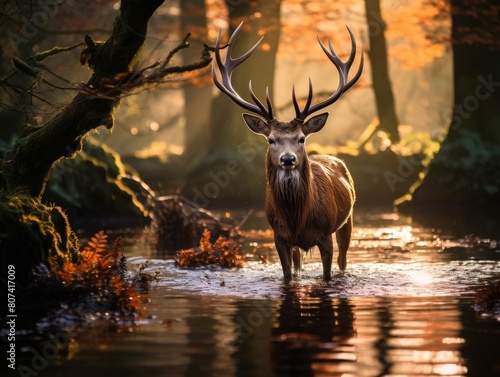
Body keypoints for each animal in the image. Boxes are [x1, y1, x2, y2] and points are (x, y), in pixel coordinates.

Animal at [211, 21, 364, 280]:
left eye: (301, 138)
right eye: (271, 140)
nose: (288, 159)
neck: (297, 219)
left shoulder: (325, 235)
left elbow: (327, 274)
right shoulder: (279, 236)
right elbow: (288, 275)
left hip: (348, 220)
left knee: (343, 260)